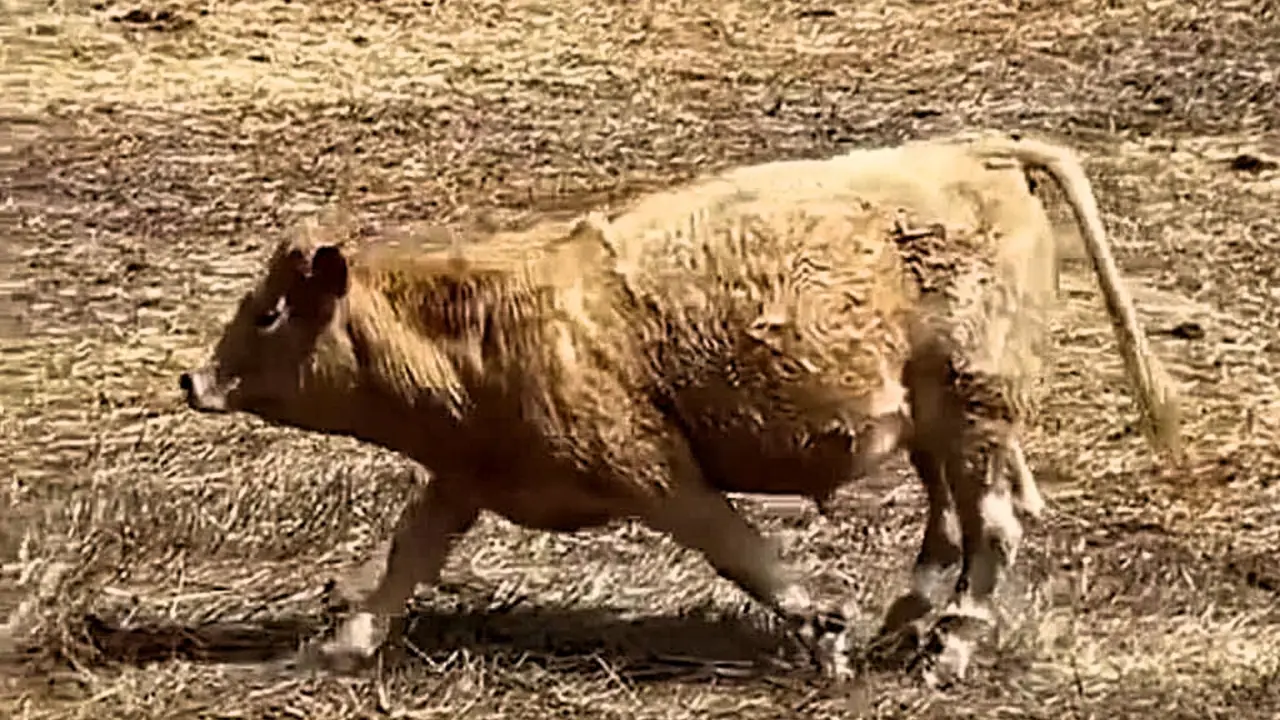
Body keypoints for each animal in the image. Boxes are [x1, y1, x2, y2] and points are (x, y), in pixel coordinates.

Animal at [178, 132, 1180, 685]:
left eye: (267, 313)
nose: (195, 381)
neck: (487, 330)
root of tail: (977, 152)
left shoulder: (654, 471)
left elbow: (737, 548)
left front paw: (824, 633)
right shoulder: (462, 479)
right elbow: (405, 560)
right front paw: (336, 649)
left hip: (975, 413)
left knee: (994, 528)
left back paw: (950, 649)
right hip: (937, 430)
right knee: (950, 526)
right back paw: (909, 625)